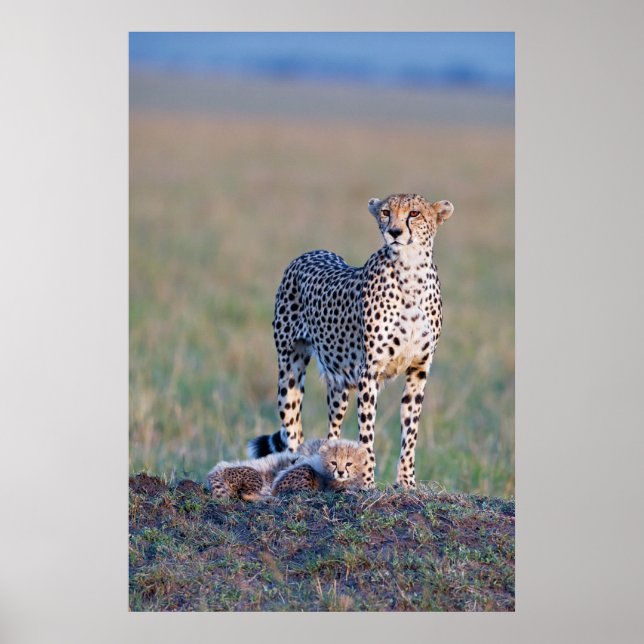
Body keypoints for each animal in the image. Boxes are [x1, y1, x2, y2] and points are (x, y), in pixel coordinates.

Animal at [252, 193, 454, 489]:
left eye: (414, 213)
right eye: (385, 212)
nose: (394, 232)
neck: (411, 272)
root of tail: (311, 252)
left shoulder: (418, 369)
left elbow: (410, 432)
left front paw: (407, 482)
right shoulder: (368, 373)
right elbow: (366, 436)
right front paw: (367, 482)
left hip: (339, 385)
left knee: (331, 432)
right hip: (290, 369)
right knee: (292, 428)